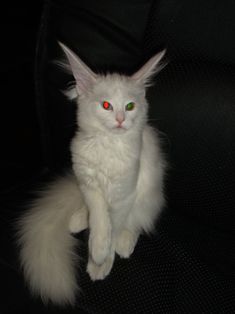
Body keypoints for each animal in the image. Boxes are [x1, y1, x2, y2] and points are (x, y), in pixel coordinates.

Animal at [17, 43, 166, 306]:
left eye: (130, 106)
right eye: (106, 105)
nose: (120, 120)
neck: (108, 145)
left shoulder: (125, 193)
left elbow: (114, 225)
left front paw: (101, 261)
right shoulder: (88, 184)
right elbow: (98, 219)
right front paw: (97, 248)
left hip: (150, 192)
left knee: (139, 219)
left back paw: (125, 242)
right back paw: (78, 219)